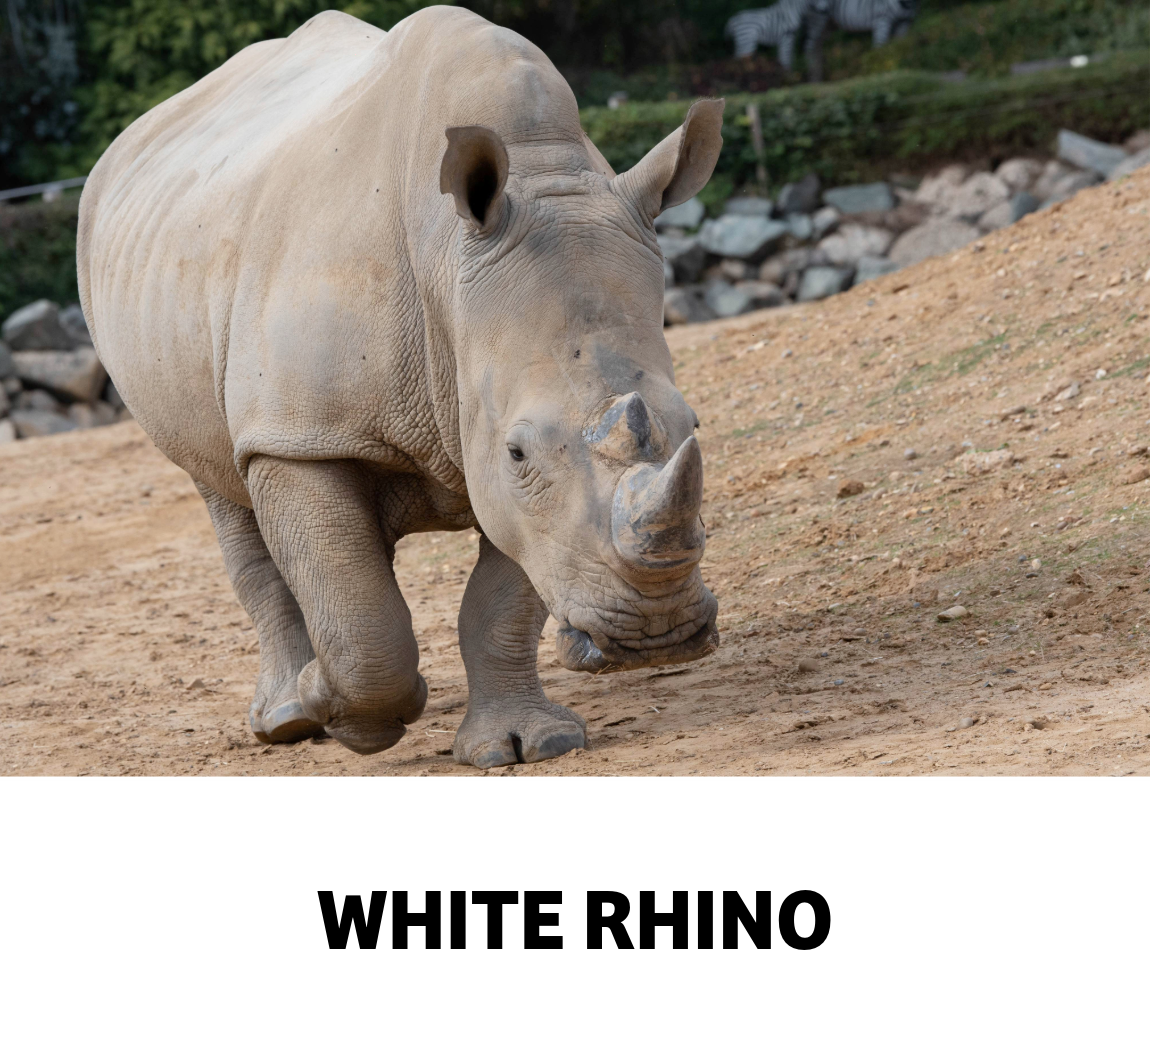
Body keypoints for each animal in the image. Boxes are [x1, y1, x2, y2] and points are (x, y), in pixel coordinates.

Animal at [77, 6, 723, 768]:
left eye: (694, 426)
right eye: (519, 452)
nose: (657, 636)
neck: (448, 263)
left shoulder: (502, 452)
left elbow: (502, 596)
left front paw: (525, 745)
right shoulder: (303, 434)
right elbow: (362, 622)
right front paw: (341, 705)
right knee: (222, 488)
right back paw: (289, 716)